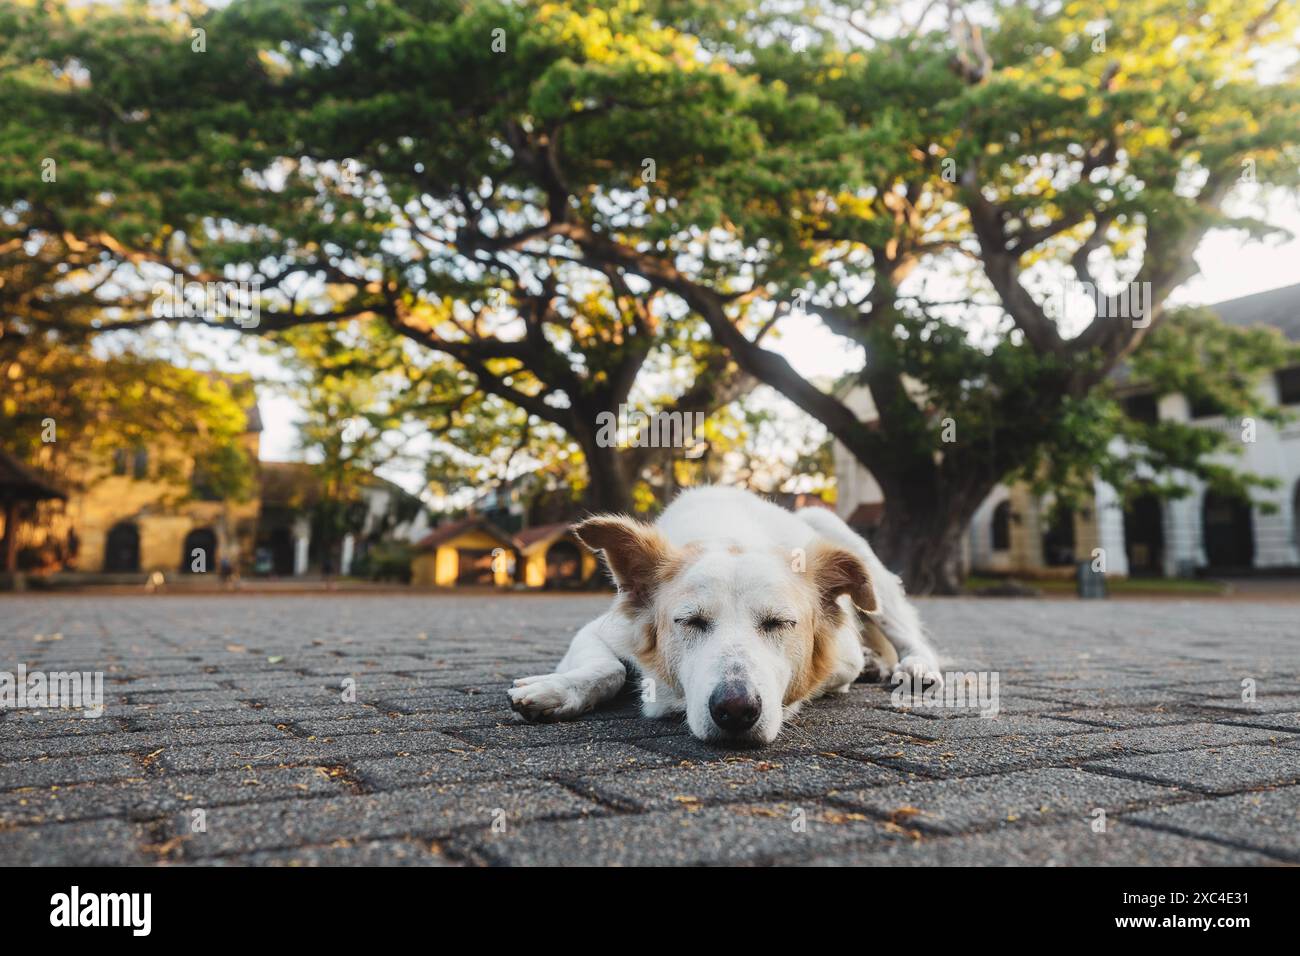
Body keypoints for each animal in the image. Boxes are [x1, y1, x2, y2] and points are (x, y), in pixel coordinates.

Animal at [501, 486, 941, 749]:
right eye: (690, 622)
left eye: (780, 623)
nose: (736, 711)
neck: (728, 533)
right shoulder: (602, 630)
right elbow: (608, 669)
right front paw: (555, 690)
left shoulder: (840, 657)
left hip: (853, 554)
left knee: (905, 632)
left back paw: (915, 667)